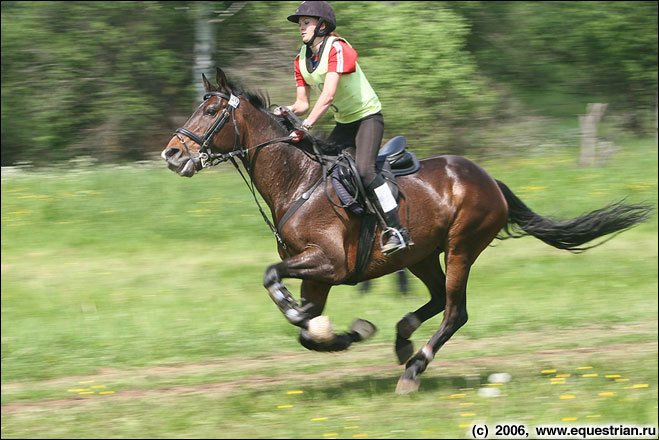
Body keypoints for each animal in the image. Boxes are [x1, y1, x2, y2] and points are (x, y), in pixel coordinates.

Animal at [161, 67, 656, 394]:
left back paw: (414, 367)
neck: (299, 181)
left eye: (210, 110)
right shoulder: (317, 276)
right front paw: (347, 333)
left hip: (461, 247)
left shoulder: (328, 264)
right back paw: (402, 340)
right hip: (420, 255)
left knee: (455, 311)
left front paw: (307, 317)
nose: (171, 154)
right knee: (436, 300)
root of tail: (489, 179)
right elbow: (307, 331)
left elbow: (273, 281)